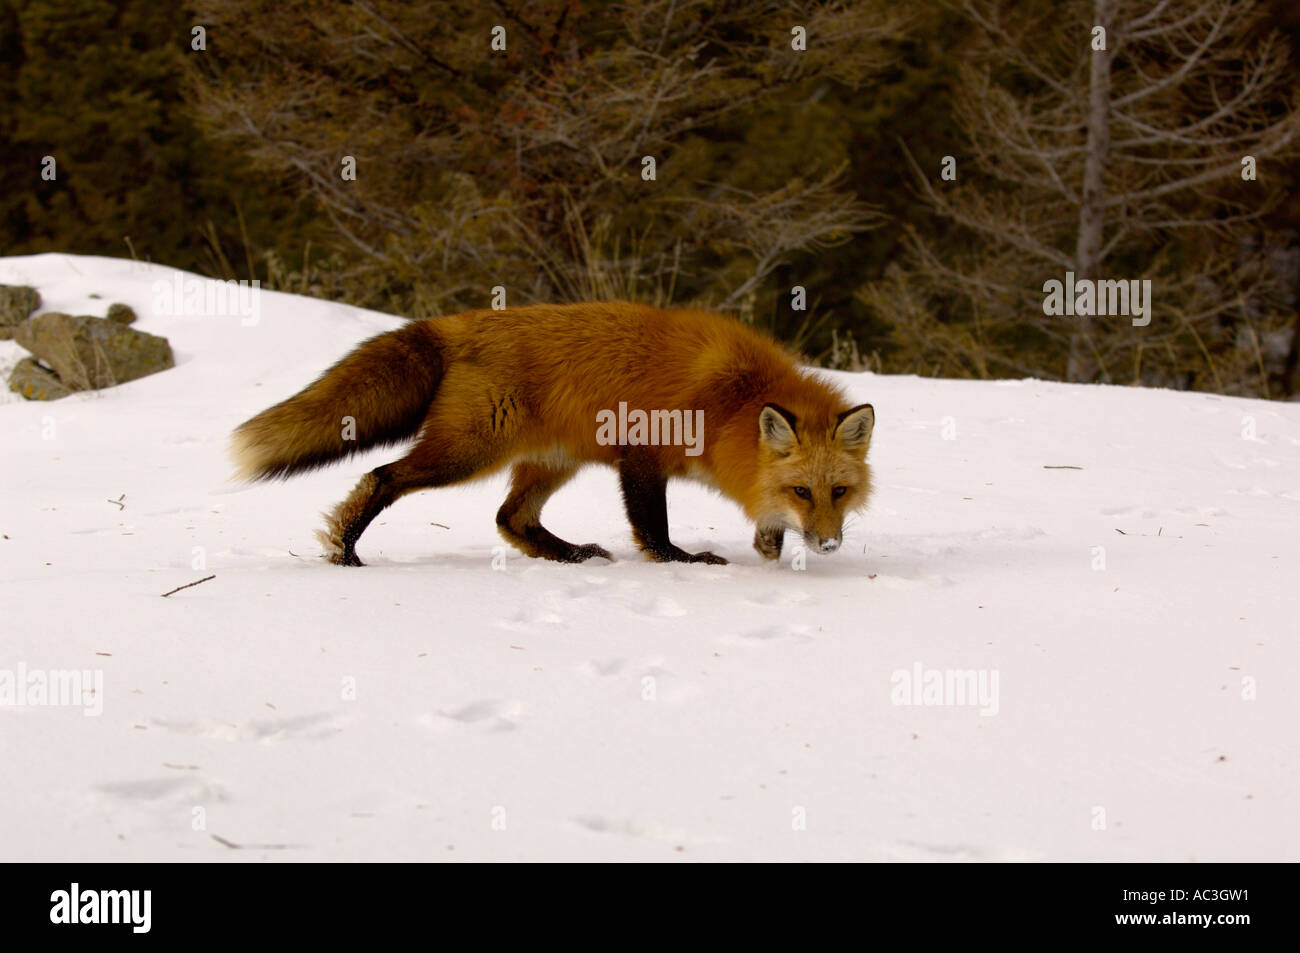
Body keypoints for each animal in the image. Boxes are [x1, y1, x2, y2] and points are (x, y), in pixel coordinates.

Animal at [232, 301, 873, 561]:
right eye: (802, 491)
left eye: (838, 492)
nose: (829, 545)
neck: (731, 400)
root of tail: (454, 323)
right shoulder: (642, 455)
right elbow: (653, 527)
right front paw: (680, 562)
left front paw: (770, 547)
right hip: (468, 453)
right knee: (382, 477)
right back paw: (344, 552)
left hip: (553, 461)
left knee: (509, 519)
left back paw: (569, 555)